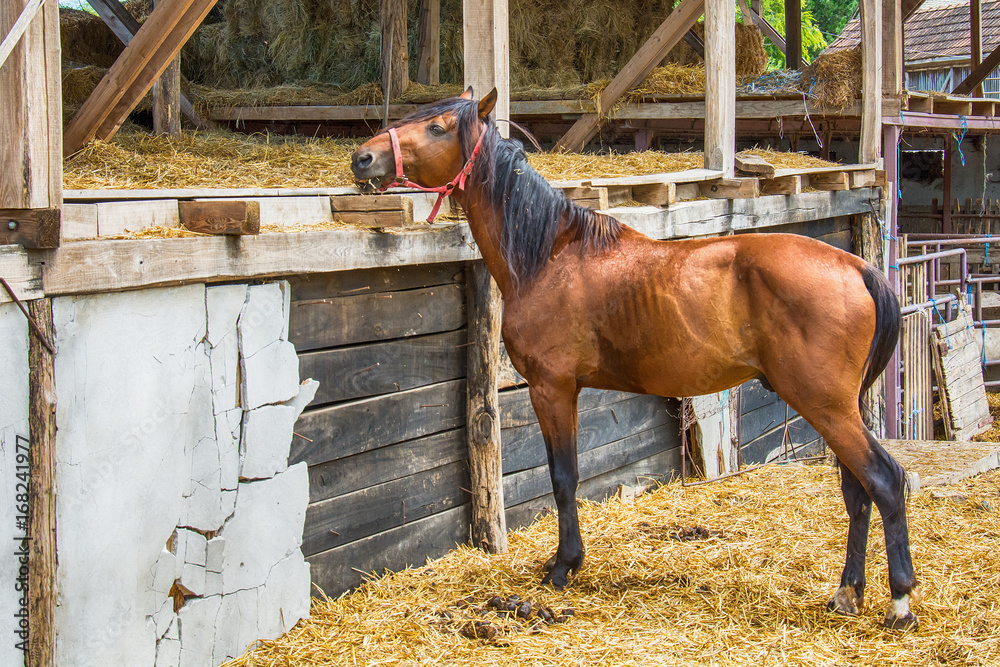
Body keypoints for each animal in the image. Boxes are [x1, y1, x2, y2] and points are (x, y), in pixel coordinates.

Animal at [350, 87, 918, 630]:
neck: (549, 256)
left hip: (826, 406)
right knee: (857, 490)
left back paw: (900, 602)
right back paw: (847, 593)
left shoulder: (552, 388)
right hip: (841, 409)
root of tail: (857, 268)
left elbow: (564, 477)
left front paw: (564, 566)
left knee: (885, 480)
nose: (362, 158)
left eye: (438, 126)